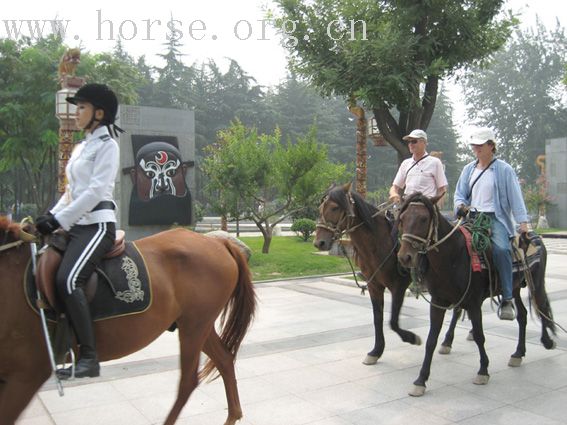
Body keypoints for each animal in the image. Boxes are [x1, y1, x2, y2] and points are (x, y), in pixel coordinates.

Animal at [0, 215, 255, 424]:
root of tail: (218, 243)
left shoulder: (28, 373)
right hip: (198, 324)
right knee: (224, 359)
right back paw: (232, 416)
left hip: (194, 326)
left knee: (188, 381)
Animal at [398, 194, 556, 396]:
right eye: (402, 218)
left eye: (424, 219)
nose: (405, 257)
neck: (453, 256)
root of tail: (534, 236)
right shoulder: (438, 302)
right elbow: (431, 340)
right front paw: (421, 380)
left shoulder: (473, 303)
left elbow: (480, 336)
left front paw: (483, 371)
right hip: (513, 287)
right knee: (522, 315)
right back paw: (518, 353)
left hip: (536, 282)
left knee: (541, 307)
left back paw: (547, 341)